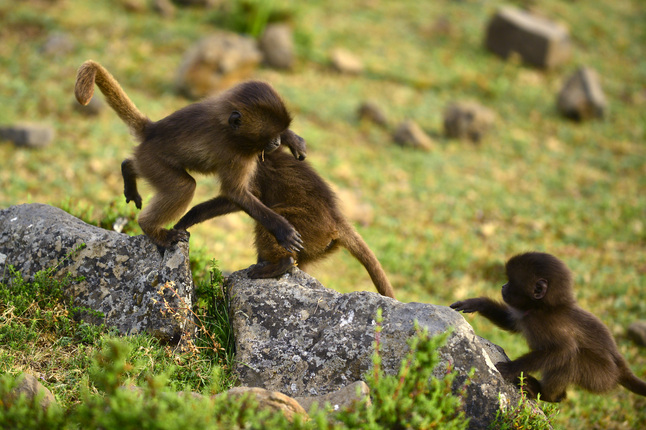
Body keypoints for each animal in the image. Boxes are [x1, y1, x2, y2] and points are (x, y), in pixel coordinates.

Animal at [74, 58, 306, 250]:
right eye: (270, 136)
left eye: (277, 134)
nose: (277, 142)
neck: (227, 126)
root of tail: (152, 130)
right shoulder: (236, 155)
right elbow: (236, 194)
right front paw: (283, 230)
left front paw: (292, 139)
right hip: (153, 160)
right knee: (183, 187)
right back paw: (151, 229)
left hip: (146, 160)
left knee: (139, 167)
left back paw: (128, 170)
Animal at [167, 135, 398, 298]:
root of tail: (336, 220)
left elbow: (241, 198)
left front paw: (187, 218)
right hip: (318, 246)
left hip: (309, 228)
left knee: (275, 227)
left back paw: (279, 264)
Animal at [450, 252, 646, 404]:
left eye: (511, 281)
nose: (503, 286)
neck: (543, 308)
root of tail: (619, 366)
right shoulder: (526, 316)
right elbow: (510, 323)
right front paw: (477, 303)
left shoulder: (542, 323)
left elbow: (563, 349)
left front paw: (511, 368)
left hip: (601, 377)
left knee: (572, 358)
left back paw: (548, 395)